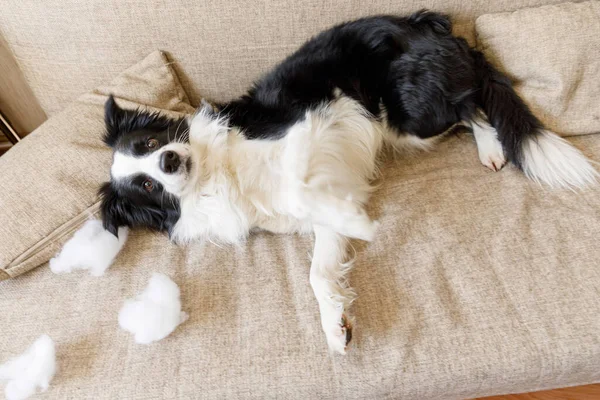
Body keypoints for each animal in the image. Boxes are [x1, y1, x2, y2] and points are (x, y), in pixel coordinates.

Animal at [98, 10, 596, 354]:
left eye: (148, 142)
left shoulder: (306, 125)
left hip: (408, 115)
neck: (215, 170)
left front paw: (362, 223)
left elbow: (301, 190)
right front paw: (334, 323)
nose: (169, 160)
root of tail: (428, 24)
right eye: (145, 186)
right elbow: (318, 269)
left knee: (473, 102)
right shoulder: (318, 210)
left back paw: (491, 147)